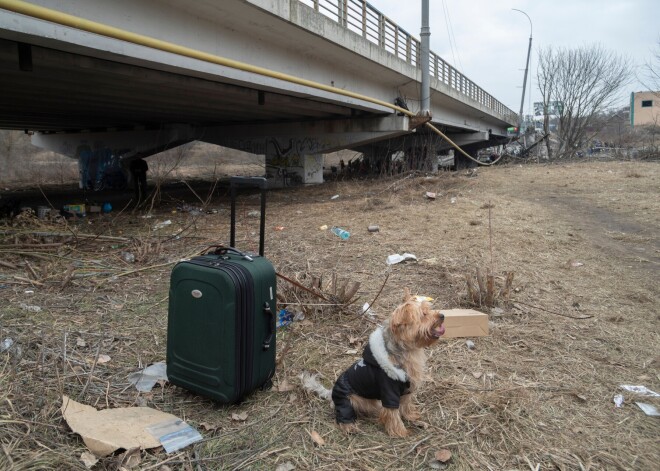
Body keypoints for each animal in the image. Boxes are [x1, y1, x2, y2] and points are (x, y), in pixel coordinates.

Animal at [302, 288, 446, 438]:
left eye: (428, 310)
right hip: (347, 400)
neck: (407, 351)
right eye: (424, 315)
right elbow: (393, 413)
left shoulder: (407, 388)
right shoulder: (389, 392)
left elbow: (406, 403)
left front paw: (410, 416)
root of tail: (331, 393)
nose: (442, 315)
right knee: (343, 415)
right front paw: (400, 431)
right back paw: (350, 427)